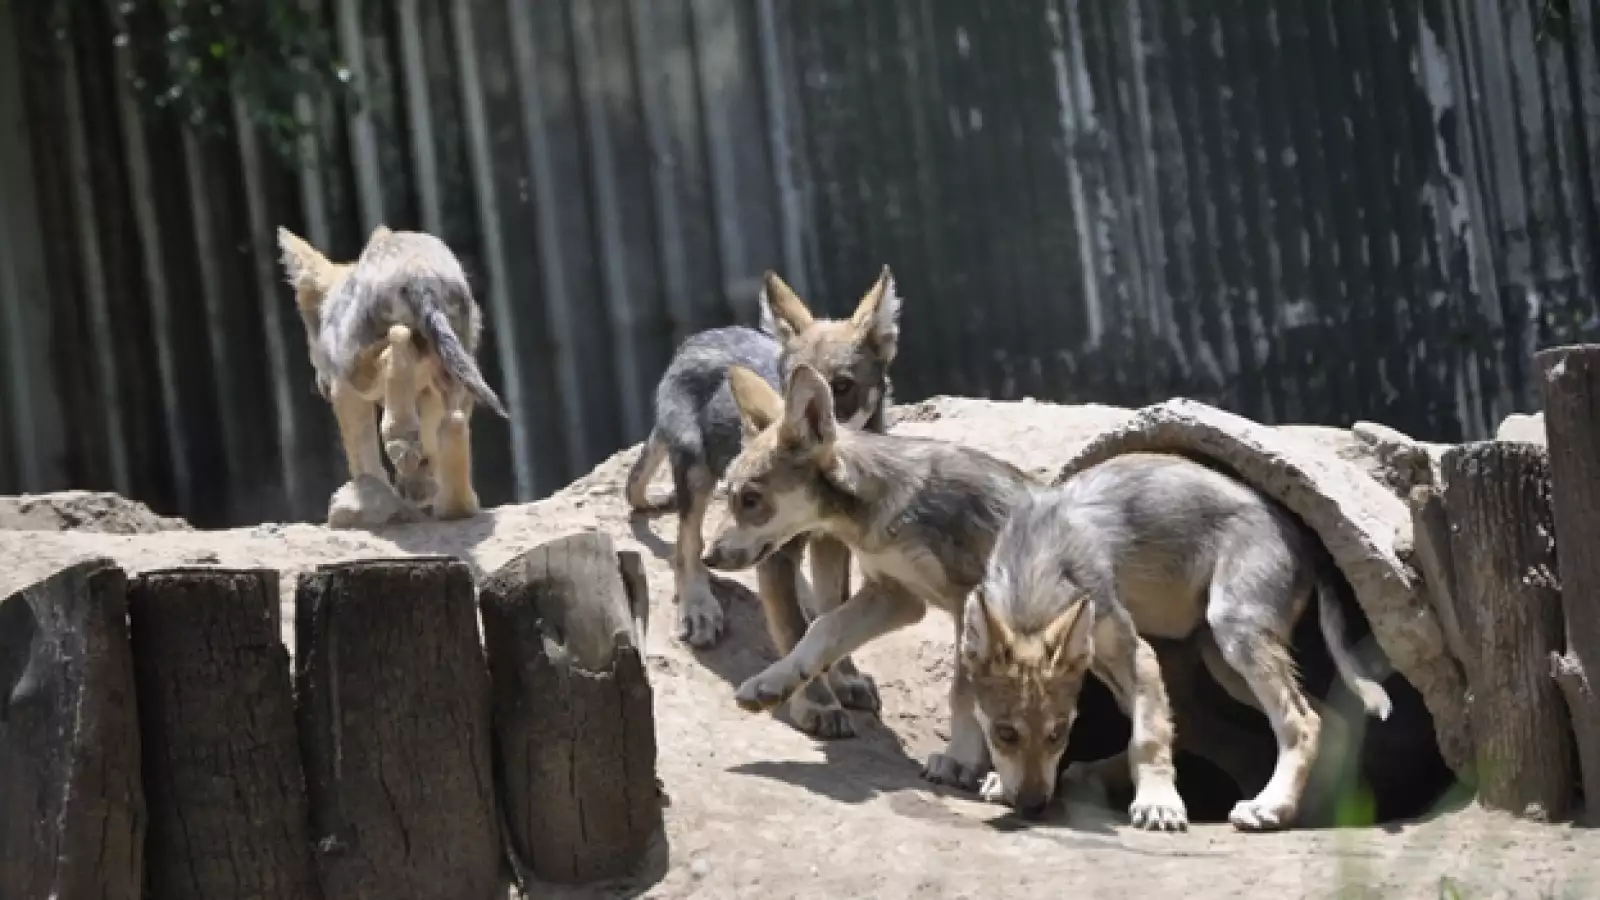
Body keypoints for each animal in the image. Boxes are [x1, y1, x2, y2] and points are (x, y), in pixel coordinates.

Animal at [276, 225, 507, 524]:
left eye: (308, 332)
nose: (320, 384)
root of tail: (420, 272)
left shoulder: (346, 390)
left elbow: (362, 457)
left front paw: (371, 495)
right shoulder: (426, 390)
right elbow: (427, 443)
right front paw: (416, 485)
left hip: (361, 368)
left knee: (398, 343)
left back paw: (400, 435)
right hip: (456, 370)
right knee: (453, 420)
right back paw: (455, 504)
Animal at [624, 268, 901, 738]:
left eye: (843, 386)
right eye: (791, 385)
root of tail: (697, 338)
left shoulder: (832, 543)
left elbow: (833, 615)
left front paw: (844, 677)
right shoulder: (772, 552)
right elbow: (792, 630)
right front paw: (817, 704)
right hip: (696, 472)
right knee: (686, 545)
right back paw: (699, 607)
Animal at [701, 362, 1038, 793]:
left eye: (750, 500)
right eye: (728, 497)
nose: (708, 557)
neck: (896, 511)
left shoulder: (969, 602)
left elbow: (963, 692)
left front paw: (960, 760)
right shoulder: (896, 596)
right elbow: (822, 629)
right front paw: (773, 683)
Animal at [962, 451, 1393, 831]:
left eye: (1057, 734)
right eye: (1005, 733)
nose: (1033, 806)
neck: (1037, 567)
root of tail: (1306, 539)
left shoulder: (1137, 654)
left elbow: (1148, 737)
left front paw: (1158, 804)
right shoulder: (1107, 662)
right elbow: (1153, 727)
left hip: (1235, 634)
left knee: (1300, 723)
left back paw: (1270, 807)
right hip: (1227, 662)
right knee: (1328, 723)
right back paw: (1301, 811)